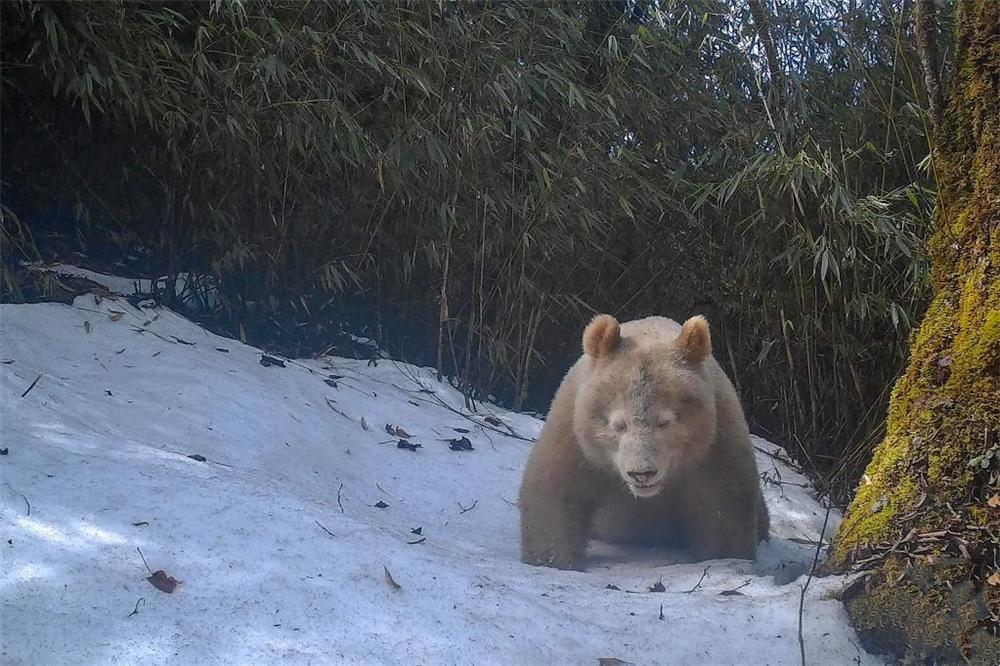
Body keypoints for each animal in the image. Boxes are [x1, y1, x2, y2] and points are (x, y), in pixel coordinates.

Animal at [518, 313, 769, 571]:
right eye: (618, 424)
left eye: (664, 422)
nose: (642, 474)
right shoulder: (575, 435)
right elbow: (555, 492)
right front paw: (553, 560)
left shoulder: (714, 445)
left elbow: (722, 508)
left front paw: (725, 558)